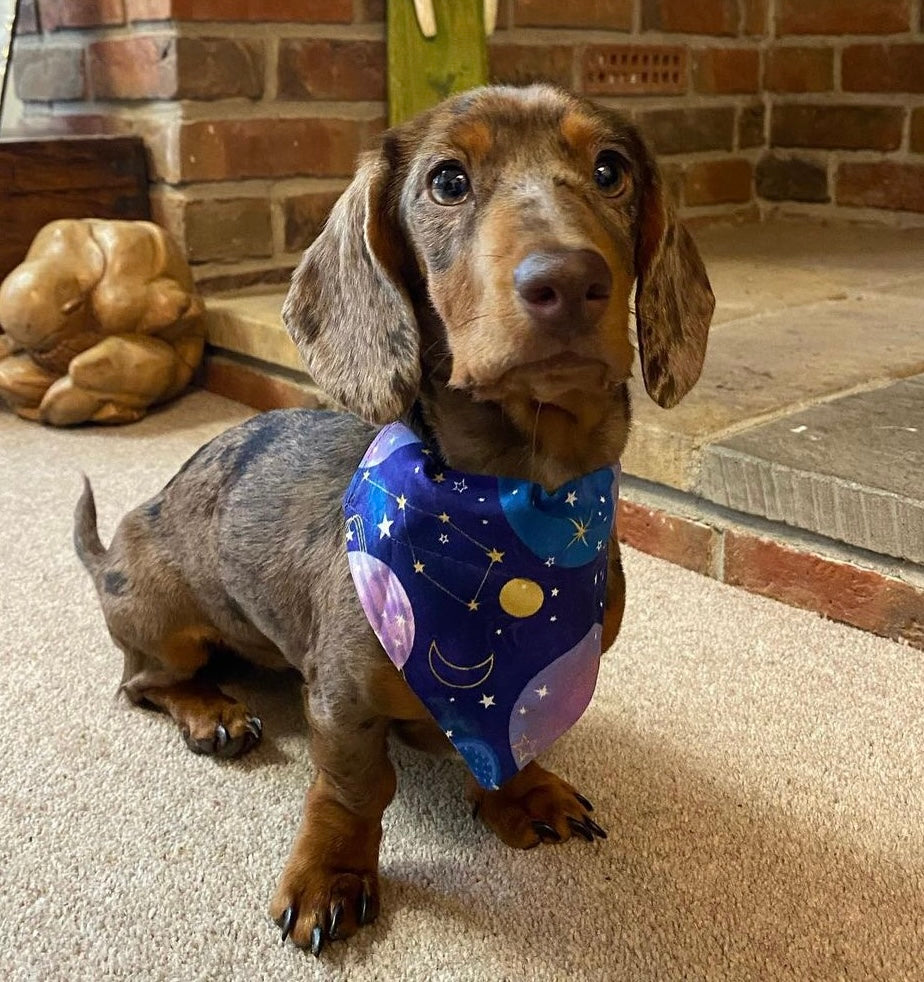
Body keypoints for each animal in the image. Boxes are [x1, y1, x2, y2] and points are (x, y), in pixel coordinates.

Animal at [76, 82, 720, 952]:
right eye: (447, 181)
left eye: (611, 170)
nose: (567, 279)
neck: (516, 501)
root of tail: (111, 544)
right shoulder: (343, 699)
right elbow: (355, 787)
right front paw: (333, 874)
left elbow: (511, 744)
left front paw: (523, 793)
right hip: (166, 622)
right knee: (146, 681)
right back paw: (214, 712)